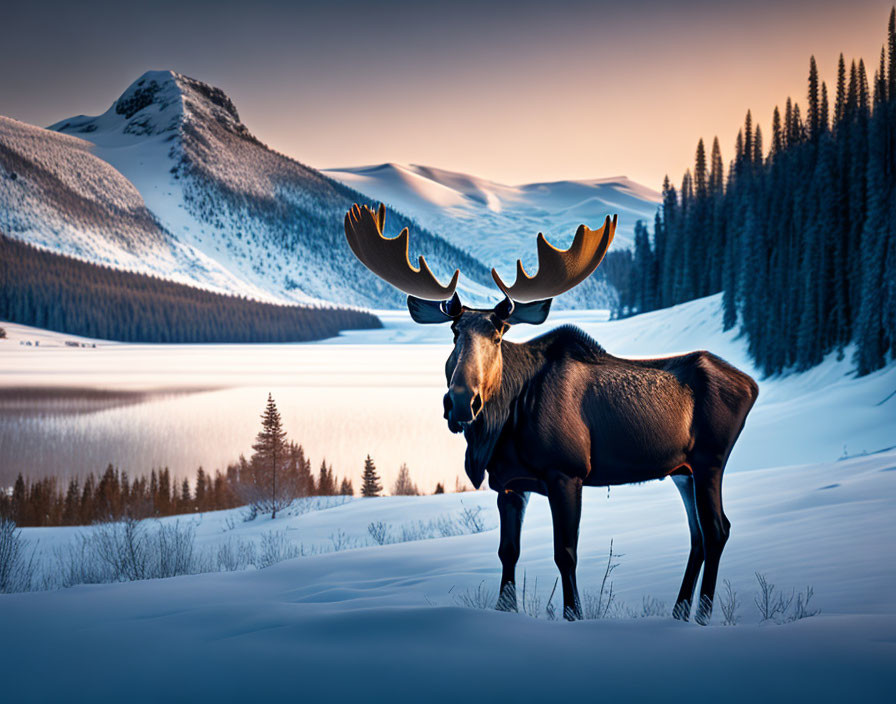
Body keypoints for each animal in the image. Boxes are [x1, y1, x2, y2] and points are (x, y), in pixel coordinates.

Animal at [344, 202, 756, 620]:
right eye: (455, 332)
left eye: (499, 334)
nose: (461, 401)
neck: (505, 425)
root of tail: (751, 384)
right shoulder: (509, 484)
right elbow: (508, 553)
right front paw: (506, 607)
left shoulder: (567, 473)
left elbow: (566, 554)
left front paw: (574, 613)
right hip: (682, 471)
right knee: (698, 536)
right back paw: (679, 612)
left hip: (709, 461)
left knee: (717, 530)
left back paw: (701, 616)